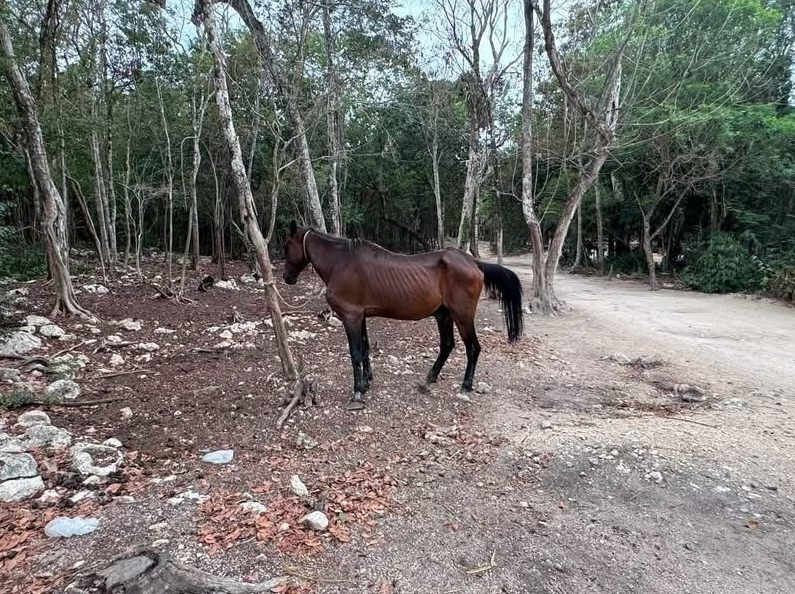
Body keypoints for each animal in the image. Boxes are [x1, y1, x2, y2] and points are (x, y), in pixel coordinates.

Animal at [282, 221, 524, 410]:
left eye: (287, 246)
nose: (286, 278)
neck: (341, 262)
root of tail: (475, 262)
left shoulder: (351, 317)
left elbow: (355, 353)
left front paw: (358, 392)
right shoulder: (361, 316)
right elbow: (365, 348)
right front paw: (367, 382)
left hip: (462, 316)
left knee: (473, 348)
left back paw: (465, 386)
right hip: (443, 315)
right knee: (447, 345)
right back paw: (429, 379)